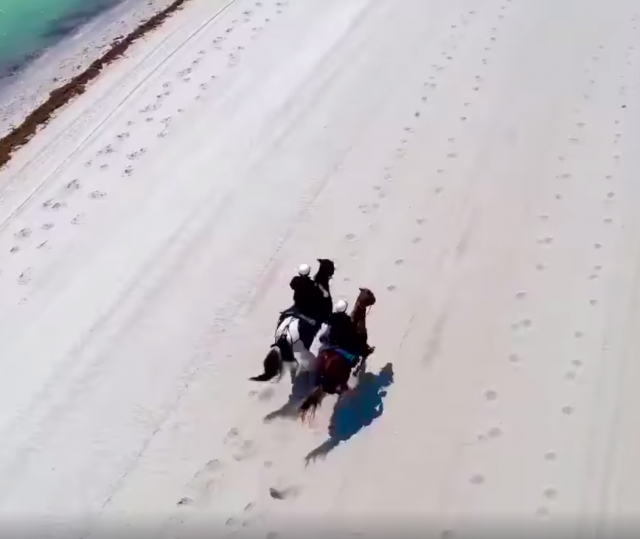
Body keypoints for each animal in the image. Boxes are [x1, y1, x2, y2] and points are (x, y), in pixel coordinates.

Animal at [298, 287, 376, 421]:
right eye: (370, 294)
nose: (375, 299)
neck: (356, 324)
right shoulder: (362, 347)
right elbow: (365, 356)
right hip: (341, 377)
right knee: (341, 388)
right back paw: (351, 393)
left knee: (335, 390)